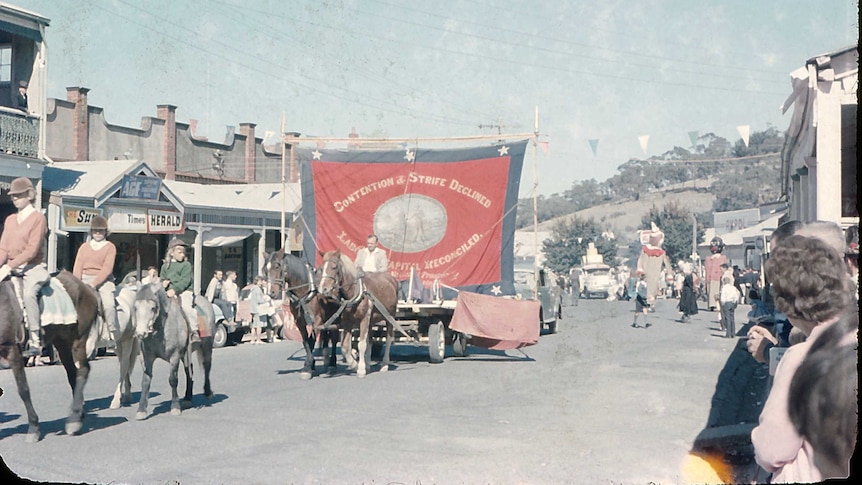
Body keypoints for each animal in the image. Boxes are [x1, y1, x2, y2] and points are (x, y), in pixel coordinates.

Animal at [0, 270, 101, 440]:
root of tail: (86, 287)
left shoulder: (13, 352)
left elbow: (23, 390)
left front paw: (33, 427)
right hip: (62, 343)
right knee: (73, 374)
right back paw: (78, 414)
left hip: (78, 340)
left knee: (83, 370)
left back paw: (74, 420)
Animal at [135, 282, 218, 418]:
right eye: (136, 308)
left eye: (153, 308)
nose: (140, 333)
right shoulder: (147, 357)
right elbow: (146, 381)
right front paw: (141, 409)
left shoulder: (174, 356)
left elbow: (173, 380)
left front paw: (175, 407)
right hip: (185, 354)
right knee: (189, 371)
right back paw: (188, 398)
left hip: (206, 346)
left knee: (207, 366)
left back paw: (207, 392)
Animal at [318, 250, 398, 378]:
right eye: (321, 268)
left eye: (334, 267)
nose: (323, 289)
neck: (356, 292)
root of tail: (391, 279)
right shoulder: (348, 322)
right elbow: (346, 346)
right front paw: (354, 365)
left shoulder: (364, 319)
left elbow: (361, 344)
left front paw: (360, 369)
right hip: (371, 320)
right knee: (370, 339)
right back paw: (368, 365)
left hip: (390, 316)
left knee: (389, 338)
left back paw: (385, 364)